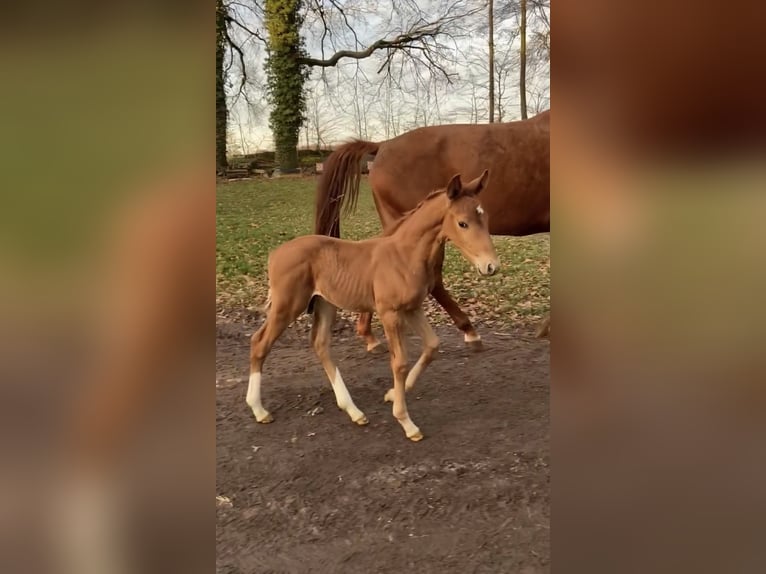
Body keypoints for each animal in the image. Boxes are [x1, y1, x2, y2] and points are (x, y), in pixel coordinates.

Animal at [248, 171, 499, 441]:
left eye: (485, 217)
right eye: (463, 223)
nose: (491, 266)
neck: (404, 255)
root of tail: (275, 253)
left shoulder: (412, 308)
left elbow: (432, 345)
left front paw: (392, 394)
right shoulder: (389, 313)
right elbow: (399, 362)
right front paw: (406, 422)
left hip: (326, 304)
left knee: (320, 344)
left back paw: (354, 411)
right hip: (288, 305)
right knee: (259, 343)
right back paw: (259, 410)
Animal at [314, 110, 550, 351]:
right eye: (464, 223)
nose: (491, 265)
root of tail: (383, 144)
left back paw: (369, 335)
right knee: (433, 278)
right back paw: (468, 331)